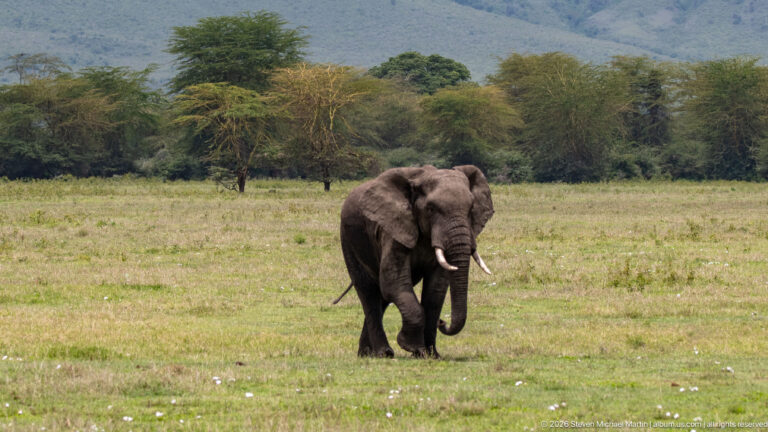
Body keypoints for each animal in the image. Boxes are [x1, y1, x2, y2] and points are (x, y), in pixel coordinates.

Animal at [337, 165, 494, 358]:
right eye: (431, 209)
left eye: (471, 209)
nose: (443, 323)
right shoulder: (393, 228)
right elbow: (393, 282)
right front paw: (412, 347)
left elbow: (435, 291)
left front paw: (431, 355)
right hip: (349, 238)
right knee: (369, 292)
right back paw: (383, 353)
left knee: (382, 296)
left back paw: (367, 354)